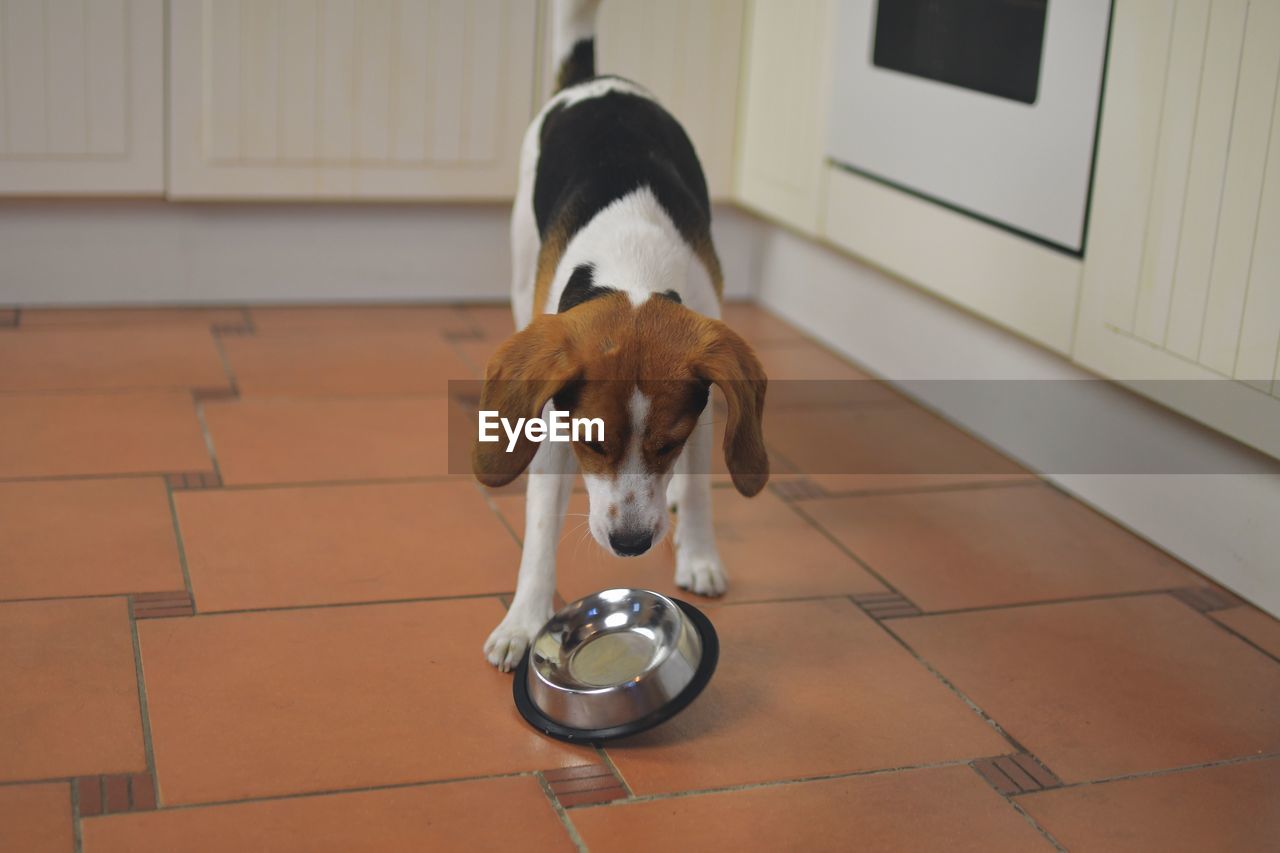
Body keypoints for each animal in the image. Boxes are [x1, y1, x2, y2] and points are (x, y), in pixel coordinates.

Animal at [473, 0, 762, 671]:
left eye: (669, 442)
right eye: (591, 444)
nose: (631, 544)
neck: (632, 272)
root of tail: (594, 80)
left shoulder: (708, 402)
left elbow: (702, 489)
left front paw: (699, 553)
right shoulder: (553, 418)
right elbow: (539, 531)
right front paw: (524, 619)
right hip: (520, 269)